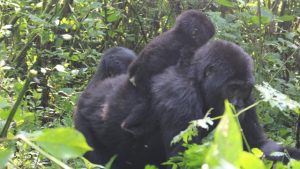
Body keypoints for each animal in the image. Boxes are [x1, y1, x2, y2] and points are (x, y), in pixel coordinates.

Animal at [73, 40, 300, 169]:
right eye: (232, 88)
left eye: (244, 89)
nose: (236, 105)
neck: (197, 80)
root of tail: (93, 89)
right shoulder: (180, 97)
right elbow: (182, 159)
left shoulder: (250, 99)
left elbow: (258, 146)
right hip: (81, 129)